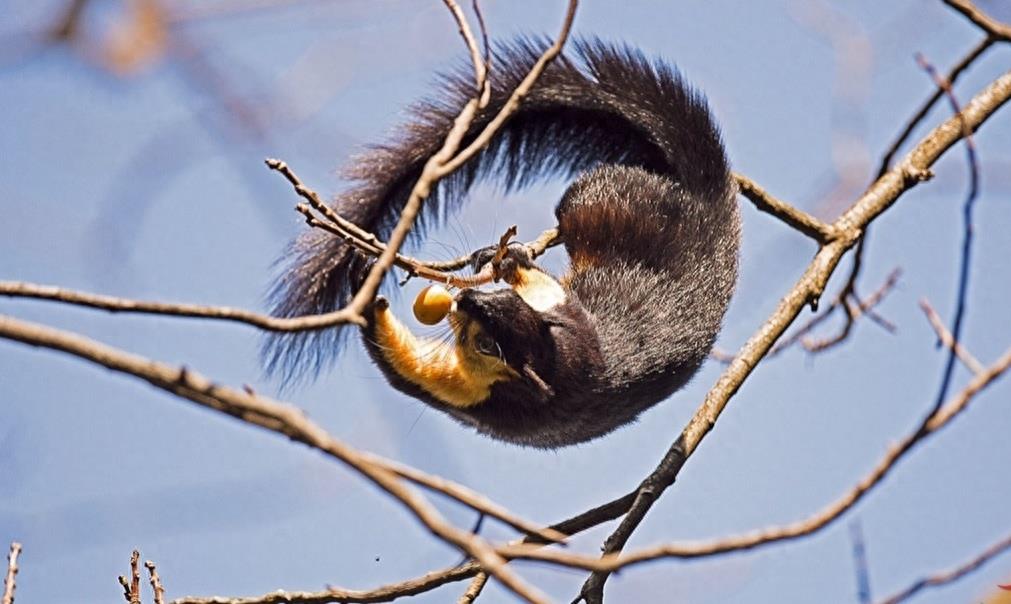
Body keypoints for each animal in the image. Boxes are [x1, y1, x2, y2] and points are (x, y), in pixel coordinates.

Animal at [266, 36, 744, 443]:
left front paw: (367, 295)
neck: (562, 373)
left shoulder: (483, 392)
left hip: (607, 197)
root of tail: (712, 199)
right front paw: (501, 259)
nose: (467, 301)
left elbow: (407, 368)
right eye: (502, 306)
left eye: (489, 344)